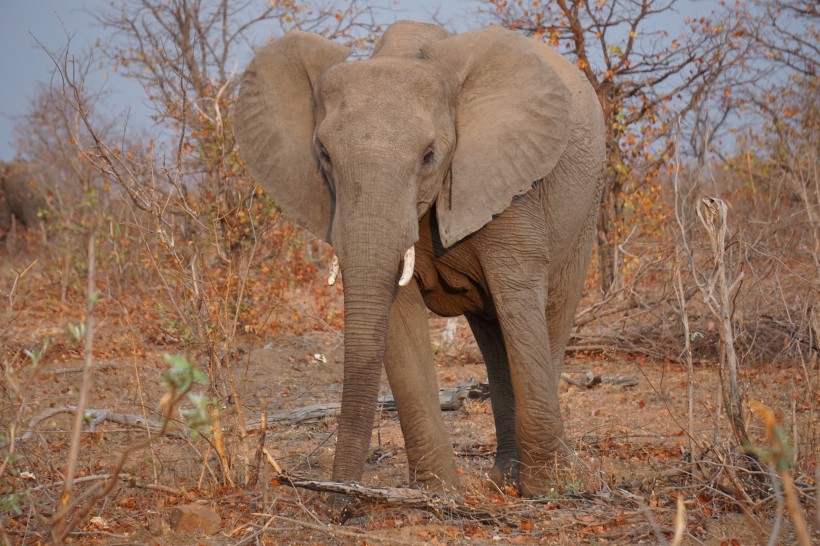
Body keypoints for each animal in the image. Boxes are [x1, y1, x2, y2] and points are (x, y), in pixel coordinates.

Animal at [234, 19, 604, 508]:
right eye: (325, 155)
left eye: (429, 156)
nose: (336, 502)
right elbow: (398, 320)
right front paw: (438, 496)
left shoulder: (512, 185)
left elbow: (518, 296)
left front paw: (552, 490)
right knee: (493, 336)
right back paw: (502, 480)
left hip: (585, 209)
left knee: (548, 314)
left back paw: (539, 480)